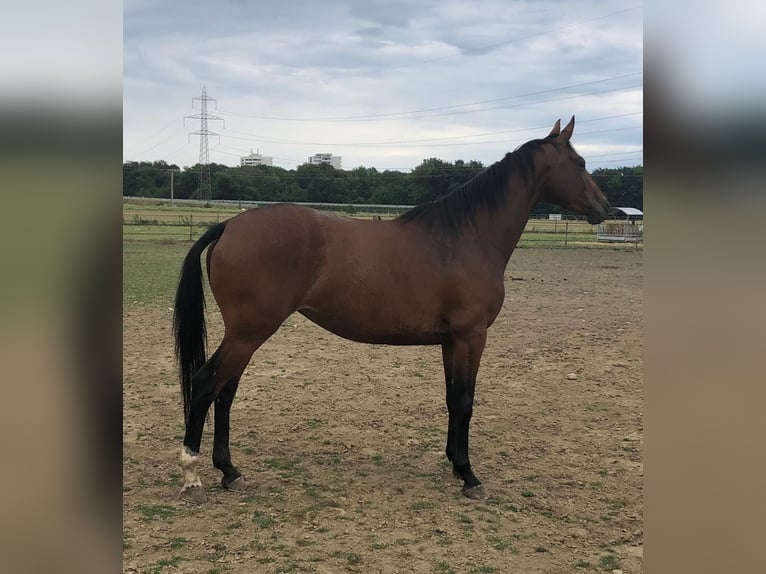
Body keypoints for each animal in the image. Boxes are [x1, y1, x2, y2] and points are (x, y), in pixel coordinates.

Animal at [173, 117, 609, 502]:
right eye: (580, 163)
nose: (606, 208)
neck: (464, 237)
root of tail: (230, 225)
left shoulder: (451, 341)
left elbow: (452, 398)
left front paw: (454, 463)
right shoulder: (471, 337)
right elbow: (465, 400)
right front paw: (468, 475)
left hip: (246, 335)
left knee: (225, 391)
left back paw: (229, 471)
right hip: (249, 332)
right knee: (206, 384)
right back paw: (192, 474)